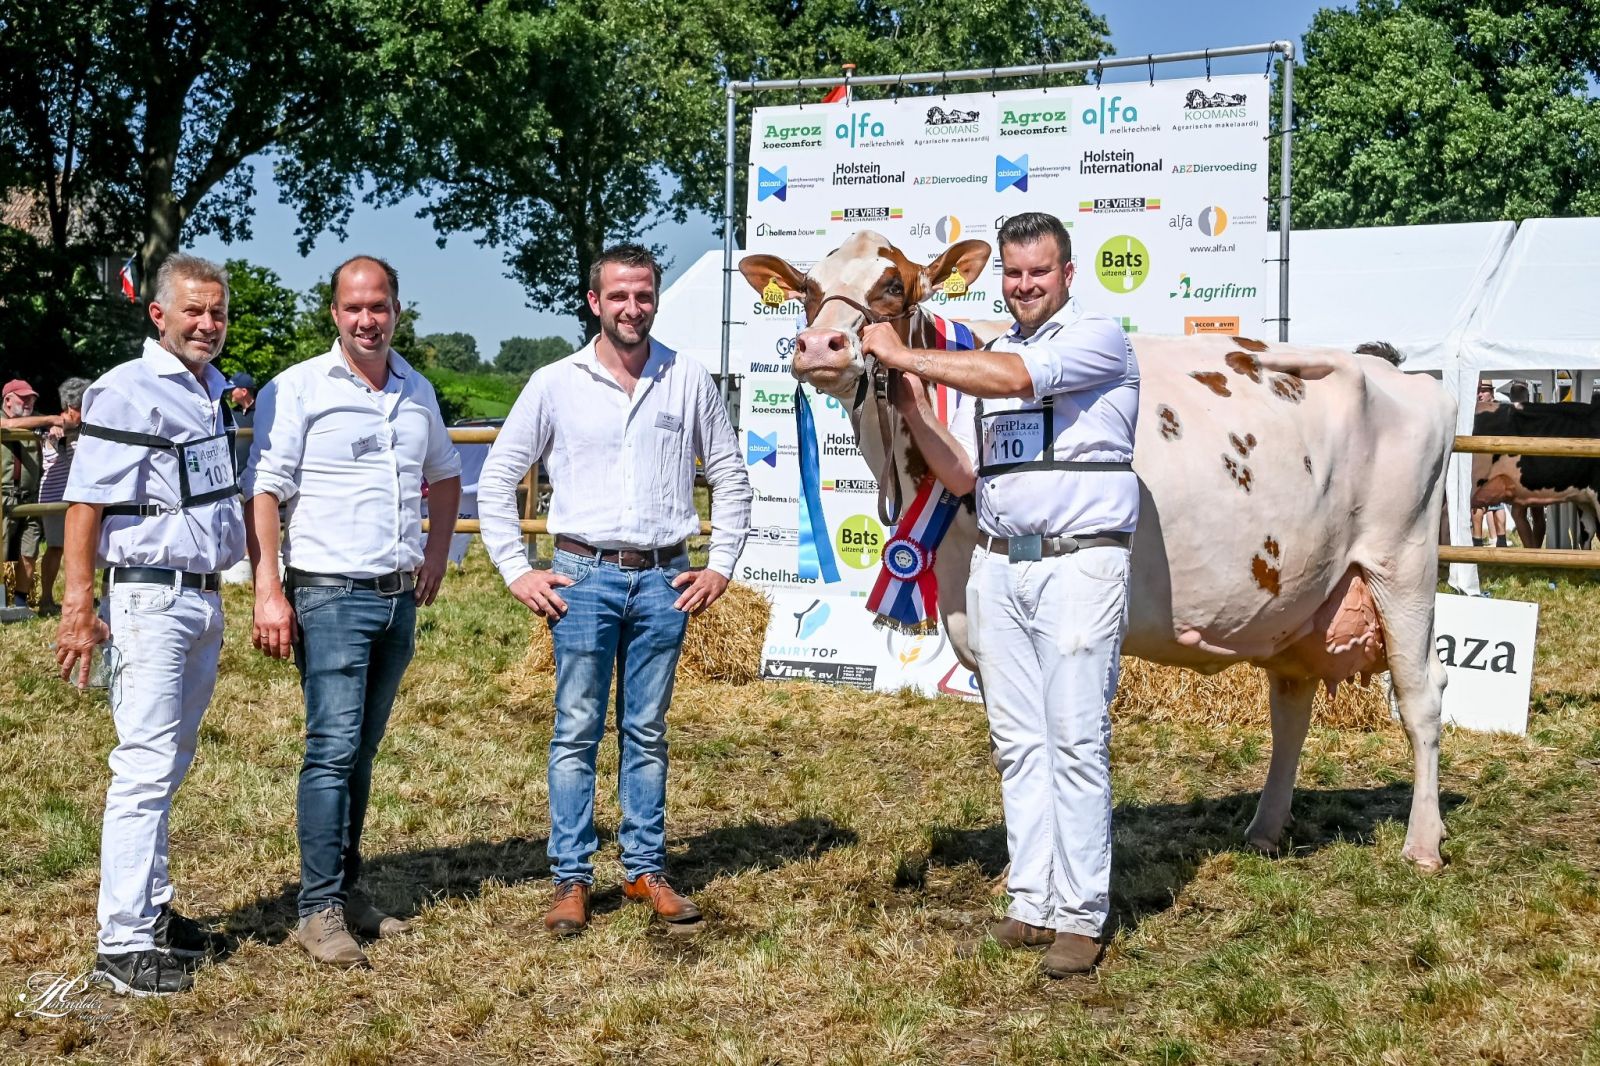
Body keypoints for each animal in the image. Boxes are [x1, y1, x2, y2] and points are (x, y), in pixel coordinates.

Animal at [740, 231, 1456, 872]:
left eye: (892, 285)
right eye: (807, 289)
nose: (819, 346)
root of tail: (1399, 373)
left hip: (1405, 562)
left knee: (1421, 695)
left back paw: (1422, 844)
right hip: (1303, 593)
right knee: (1292, 703)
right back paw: (1264, 830)